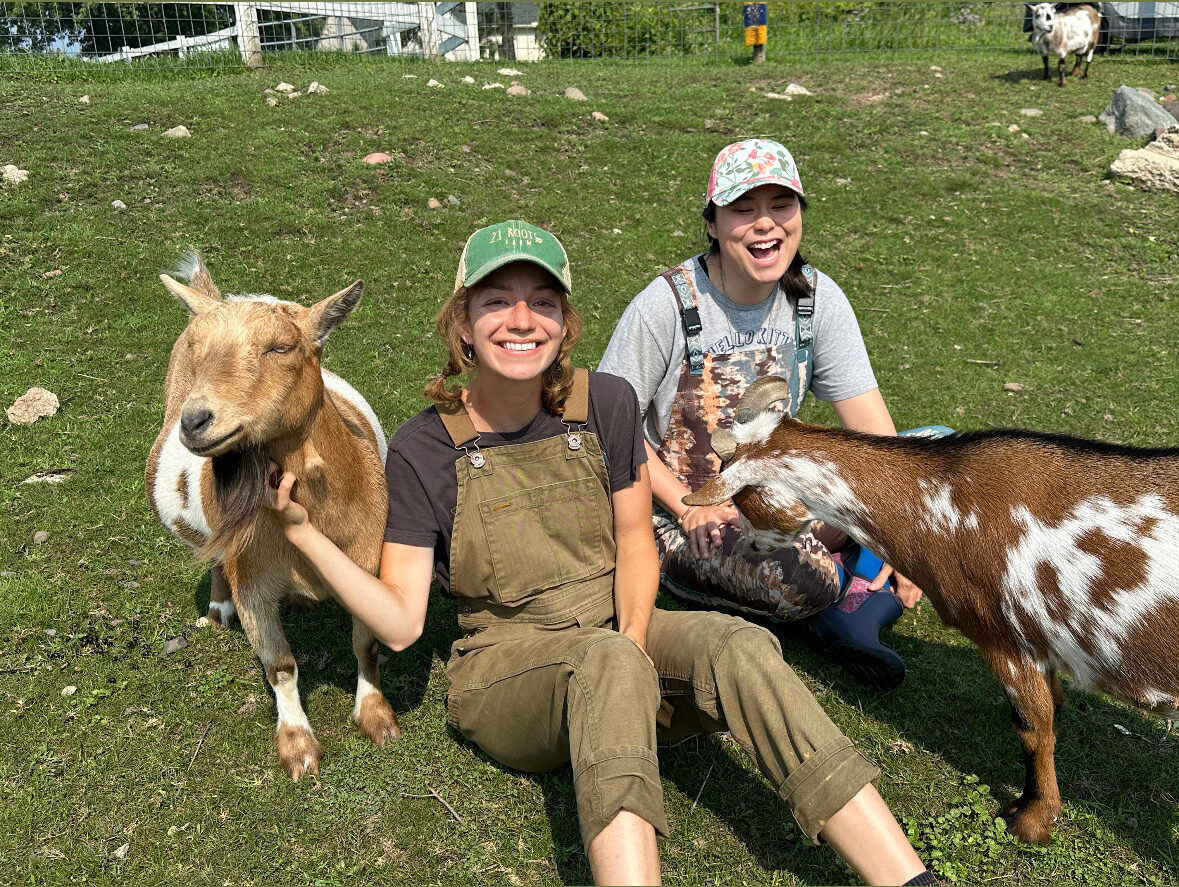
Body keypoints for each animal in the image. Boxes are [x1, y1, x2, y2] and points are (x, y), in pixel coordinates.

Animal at [145, 252, 399, 779]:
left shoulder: (369, 564)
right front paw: (298, 746)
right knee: (215, 558)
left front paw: (377, 718)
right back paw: (217, 610)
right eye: (196, 348)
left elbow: (365, 644)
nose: (195, 421)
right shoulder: (254, 584)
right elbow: (280, 665)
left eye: (283, 347)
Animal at [684, 375, 1179, 845]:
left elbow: (1032, 727)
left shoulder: (1002, 637)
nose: (747, 543)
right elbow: (1051, 707)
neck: (943, 503)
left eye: (741, 497)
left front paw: (1032, 821)